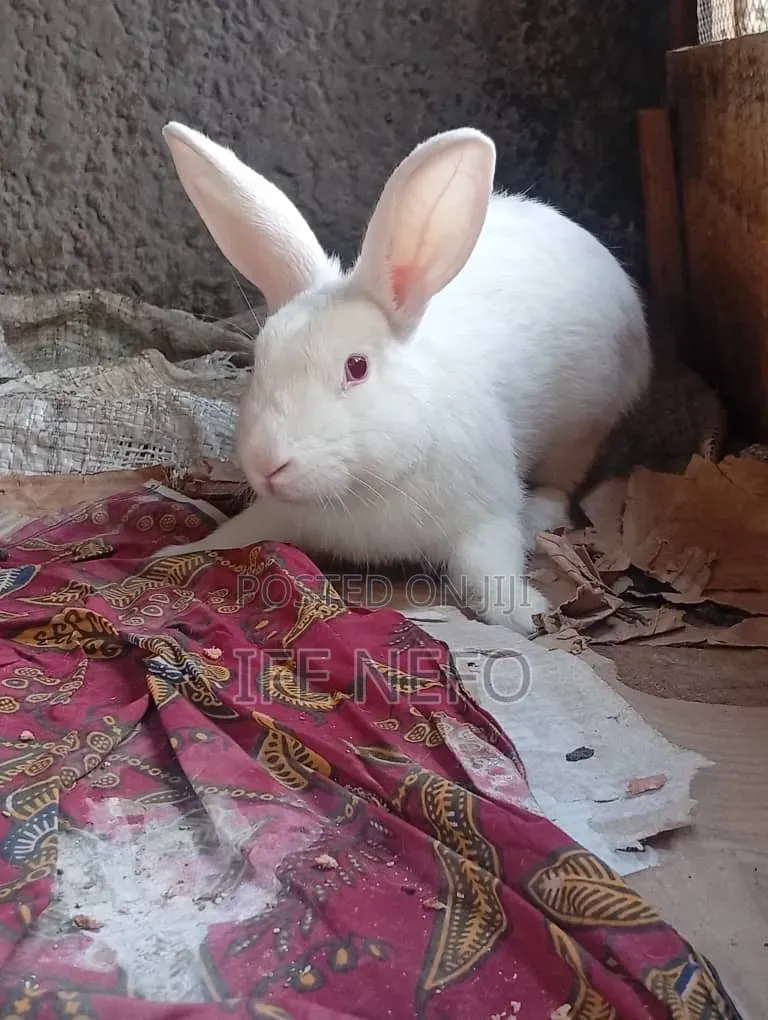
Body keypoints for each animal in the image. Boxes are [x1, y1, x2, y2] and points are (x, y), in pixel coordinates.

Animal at [152, 121, 651, 635]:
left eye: (357, 367)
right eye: (260, 358)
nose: (267, 465)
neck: (363, 489)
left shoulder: (483, 516)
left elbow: (489, 568)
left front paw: (523, 613)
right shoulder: (276, 515)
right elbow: (239, 532)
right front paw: (173, 552)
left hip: (584, 428)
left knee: (563, 482)